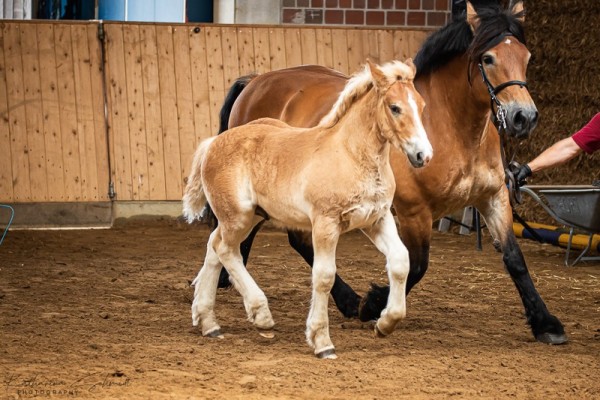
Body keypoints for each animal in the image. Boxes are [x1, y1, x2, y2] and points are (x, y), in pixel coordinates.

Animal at [182, 60, 432, 360]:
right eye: (394, 107)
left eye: (421, 105)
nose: (423, 156)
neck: (349, 155)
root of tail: (213, 143)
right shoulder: (326, 223)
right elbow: (324, 277)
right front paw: (322, 342)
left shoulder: (377, 219)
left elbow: (401, 261)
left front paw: (385, 323)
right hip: (238, 217)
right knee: (225, 249)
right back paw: (260, 314)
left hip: (248, 215)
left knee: (214, 245)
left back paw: (208, 322)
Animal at [202, 0, 568, 346]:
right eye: (489, 58)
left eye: (526, 56)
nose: (524, 117)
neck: (452, 126)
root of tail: (255, 82)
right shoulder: (414, 212)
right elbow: (417, 264)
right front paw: (374, 304)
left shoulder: (493, 198)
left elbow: (514, 258)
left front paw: (547, 324)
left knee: (280, 238)